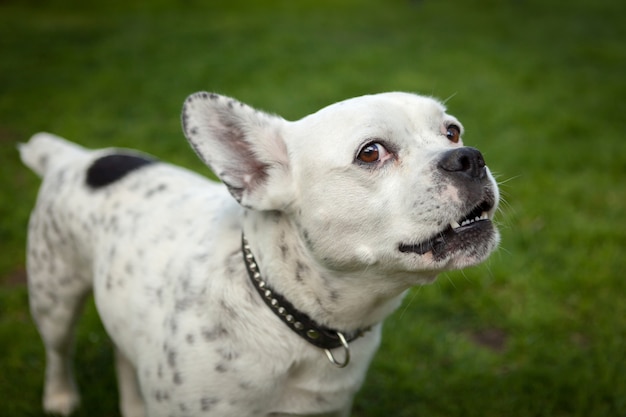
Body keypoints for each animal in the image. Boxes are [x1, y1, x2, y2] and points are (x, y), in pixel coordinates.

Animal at [20, 92, 498, 416]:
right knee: (58, 351)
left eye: (452, 131)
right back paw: (60, 398)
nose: (469, 157)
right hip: (54, 297)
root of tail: (74, 157)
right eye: (371, 152)